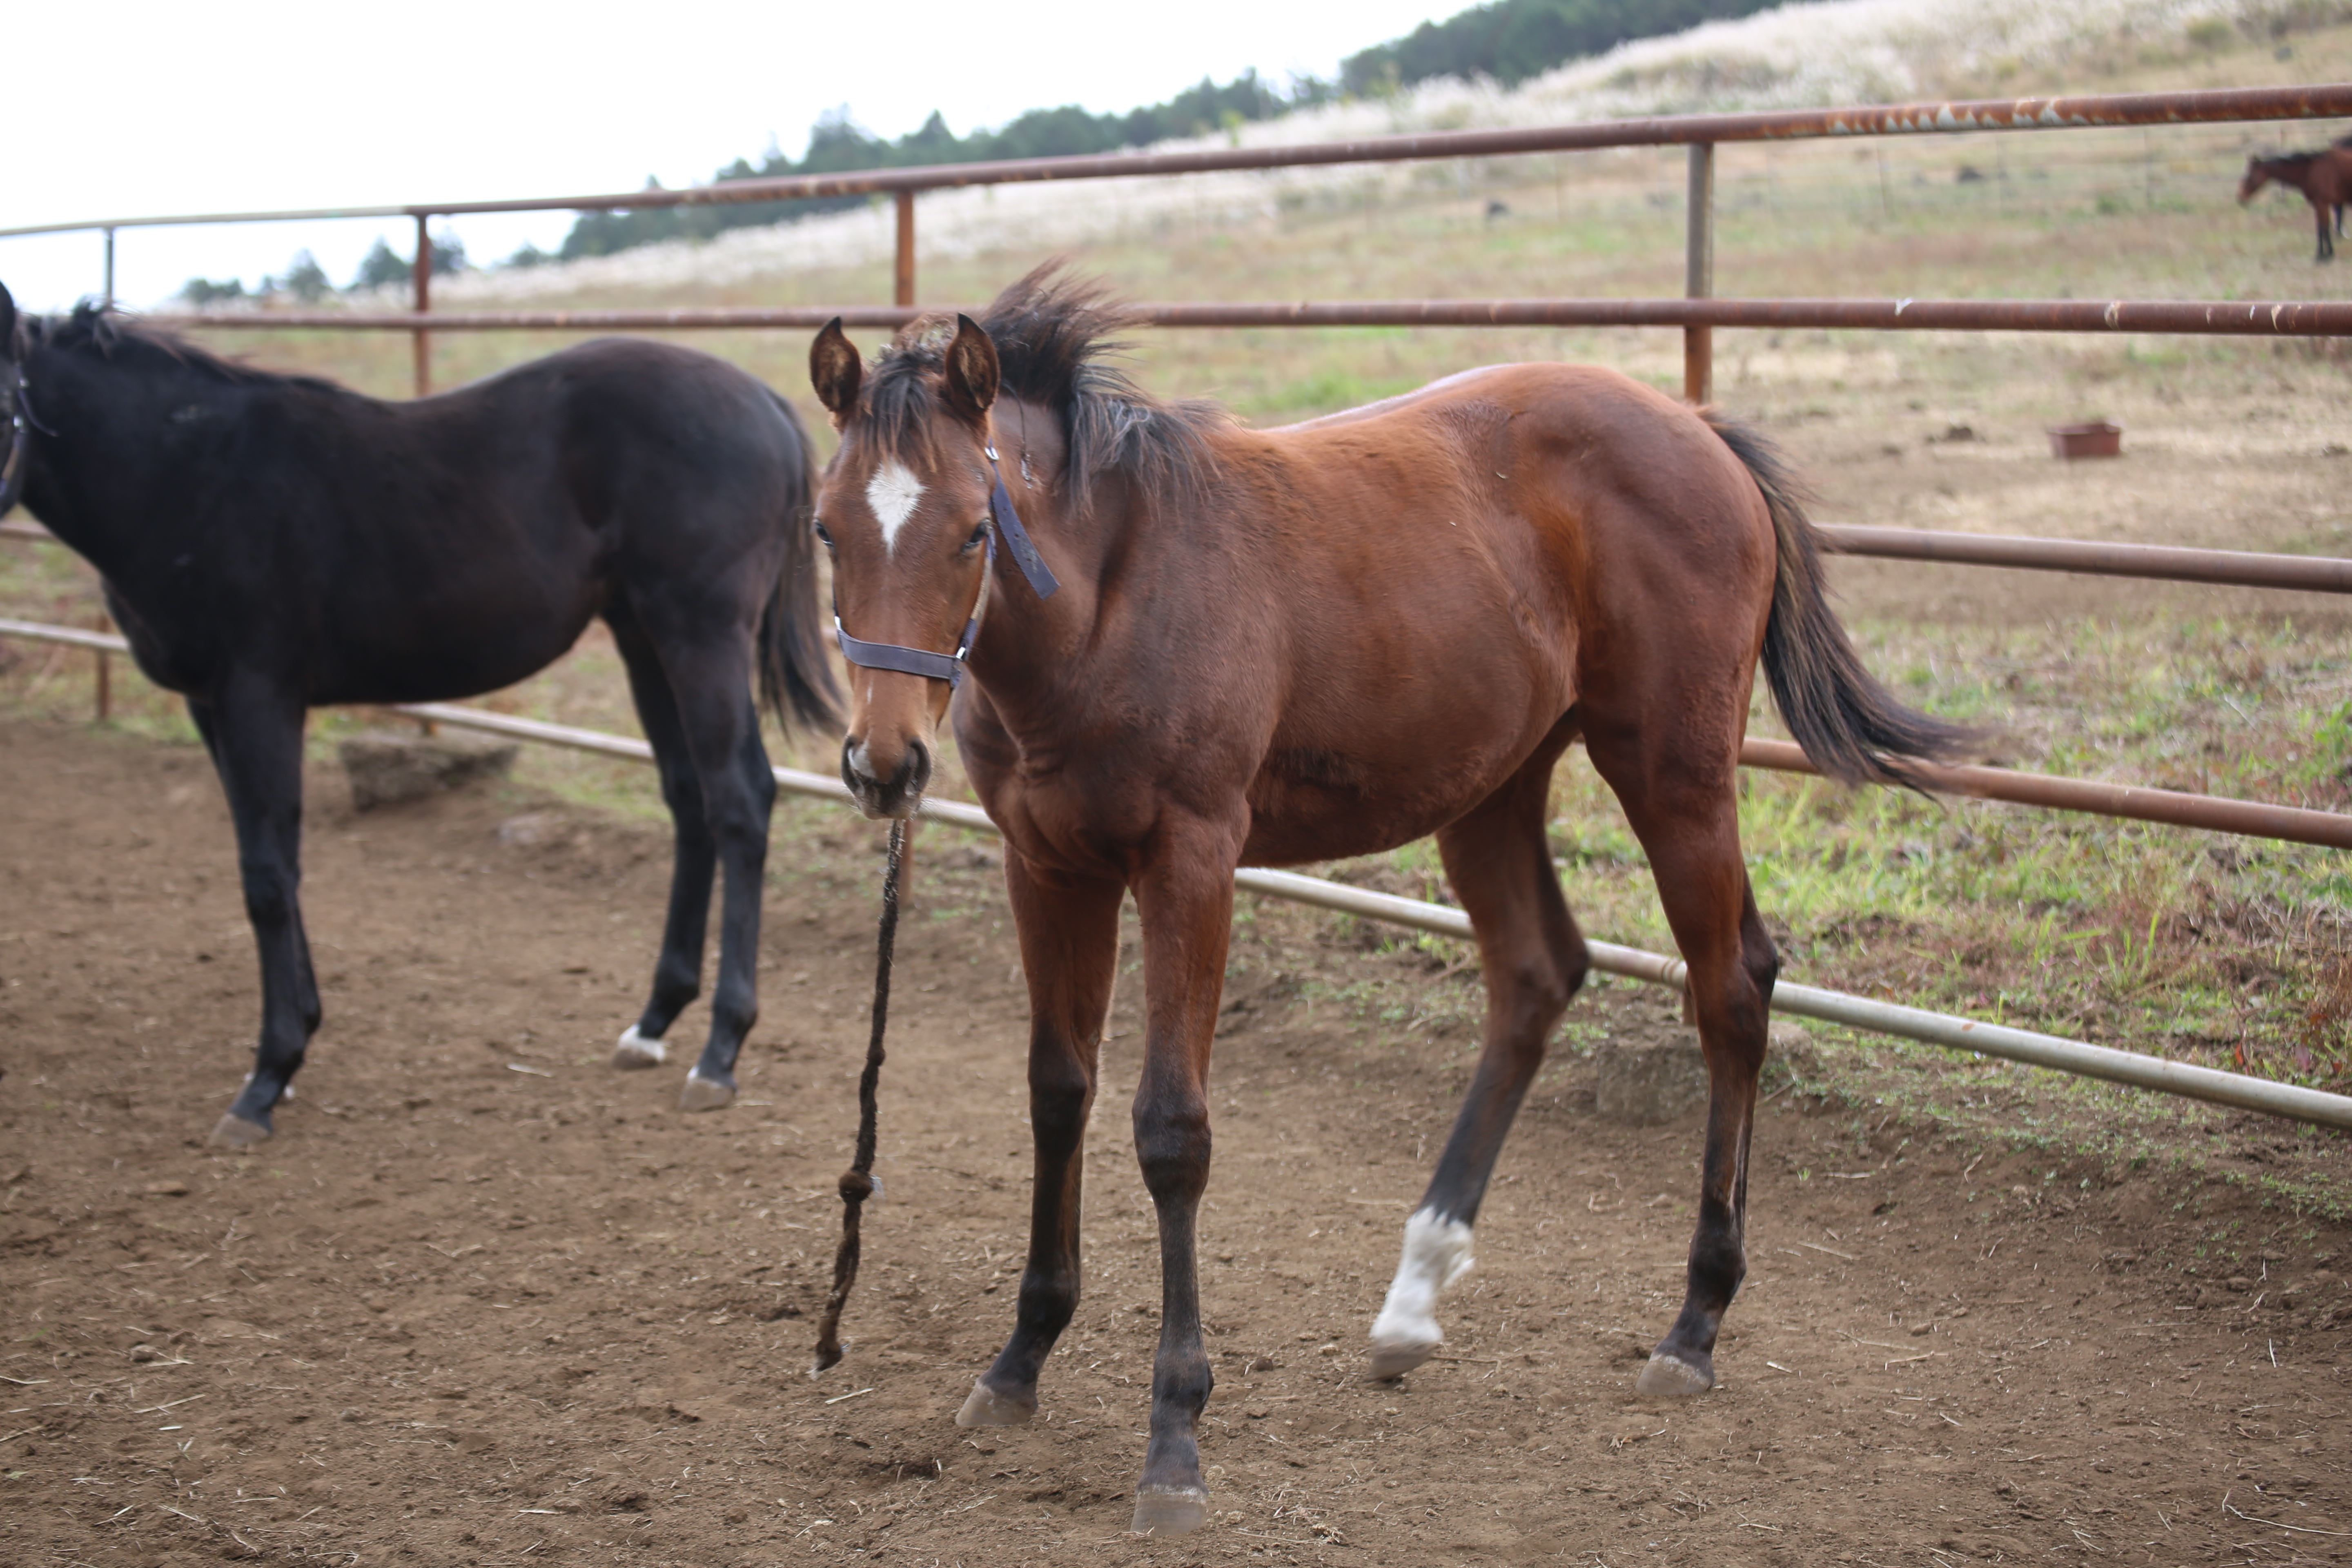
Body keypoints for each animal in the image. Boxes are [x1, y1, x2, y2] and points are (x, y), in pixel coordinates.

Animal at [0, 285, 842, 1142]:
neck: (190, 470)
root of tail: (764, 401)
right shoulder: (211, 706)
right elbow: (275, 864)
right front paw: (298, 1040)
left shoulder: (257, 695)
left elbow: (267, 875)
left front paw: (266, 1080)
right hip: (642, 634)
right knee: (688, 798)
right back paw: (652, 1025)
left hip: (700, 630)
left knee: (739, 801)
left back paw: (720, 1054)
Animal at [809, 267, 1966, 1532]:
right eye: (825, 528)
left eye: (975, 529)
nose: (884, 764)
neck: (1108, 596)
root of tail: (1697, 430)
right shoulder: (1047, 866)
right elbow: (1058, 1095)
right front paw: (1017, 1362)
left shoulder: (1190, 862)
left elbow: (1170, 1131)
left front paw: (1174, 1437)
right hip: (1496, 785)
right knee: (1537, 975)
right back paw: (1413, 1299)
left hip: (1674, 771)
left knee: (1732, 990)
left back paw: (1693, 1324)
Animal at [2230, 147, 2352, 261]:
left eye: (2248, 175)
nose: (2240, 198)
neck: (2310, 170)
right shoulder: (2320, 205)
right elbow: (2321, 229)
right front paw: (2327, 254)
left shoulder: (2322, 204)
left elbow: (2323, 229)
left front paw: (2323, 256)